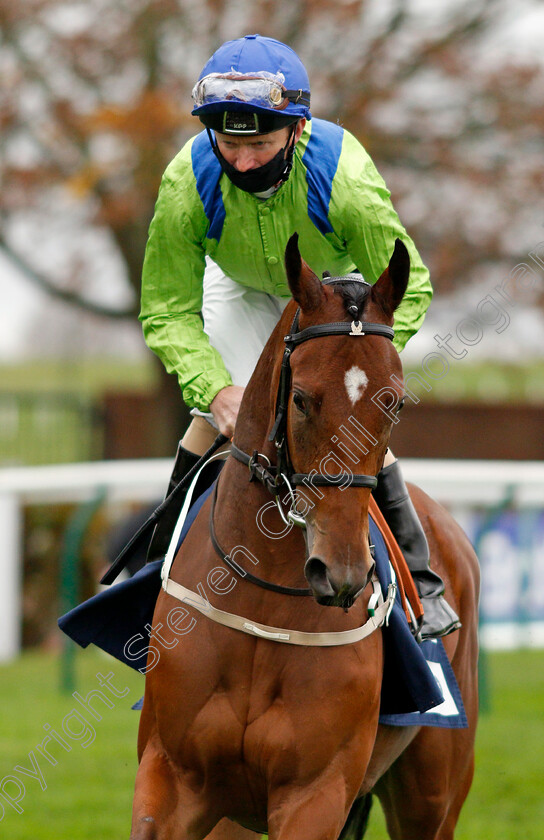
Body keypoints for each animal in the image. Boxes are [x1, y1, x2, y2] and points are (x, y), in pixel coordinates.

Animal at [130, 236, 478, 840]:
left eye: (394, 403)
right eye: (301, 399)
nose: (340, 573)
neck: (261, 603)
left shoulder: (316, 791)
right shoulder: (171, 778)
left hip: (433, 793)